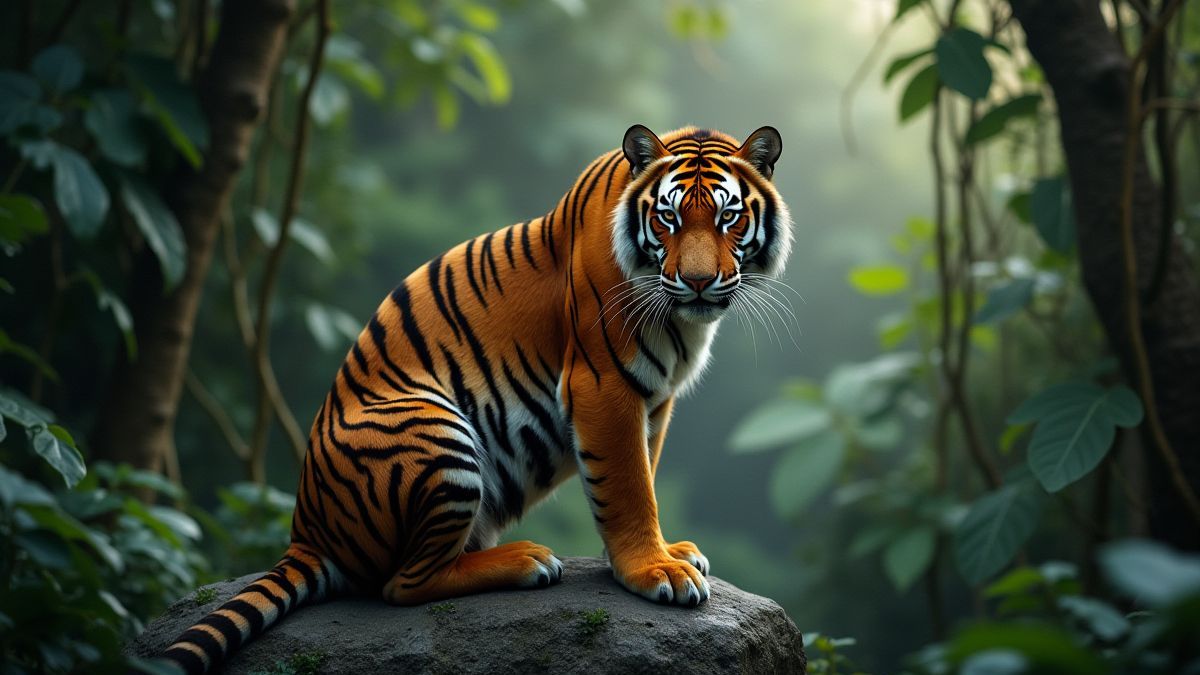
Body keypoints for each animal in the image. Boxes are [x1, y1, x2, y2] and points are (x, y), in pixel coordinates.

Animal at [159, 124, 792, 673]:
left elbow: (645, 474)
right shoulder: (603, 384)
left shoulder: (654, 401)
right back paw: (528, 561)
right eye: (667, 218)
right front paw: (655, 571)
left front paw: (665, 553)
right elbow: (628, 488)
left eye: (729, 216)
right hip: (436, 435)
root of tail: (305, 534)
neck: (683, 323)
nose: (699, 282)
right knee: (402, 584)